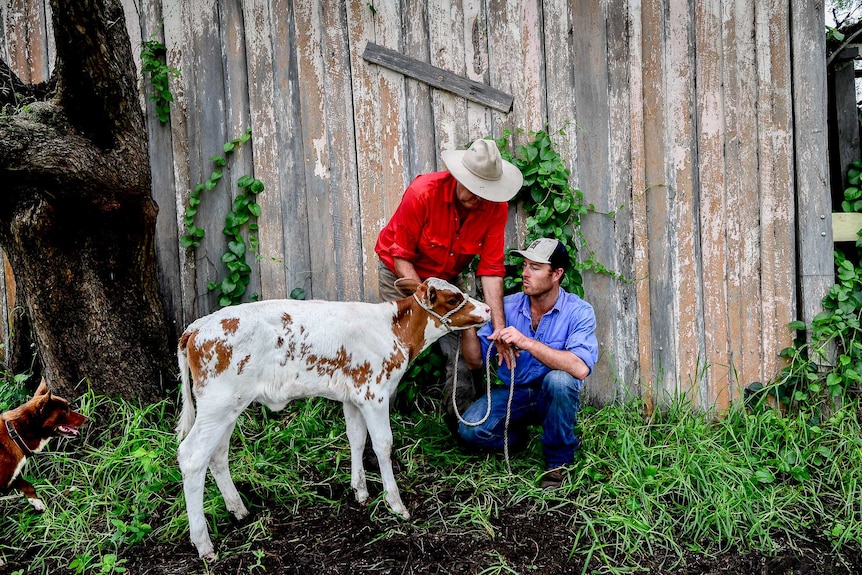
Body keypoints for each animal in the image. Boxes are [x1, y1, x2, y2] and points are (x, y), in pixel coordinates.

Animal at [0, 380, 88, 510]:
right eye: (65, 411)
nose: (88, 419)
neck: (15, 435)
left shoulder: (13, 477)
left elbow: (29, 486)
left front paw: (38, 503)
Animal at [174, 276, 492, 560]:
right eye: (454, 299)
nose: (488, 309)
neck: (393, 329)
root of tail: (198, 325)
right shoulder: (375, 395)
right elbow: (383, 445)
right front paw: (395, 503)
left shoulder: (353, 397)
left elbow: (356, 439)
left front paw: (360, 492)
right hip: (218, 403)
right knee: (192, 456)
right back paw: (203, 544)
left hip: (229, 407)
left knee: (217, 453)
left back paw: (239, 510)